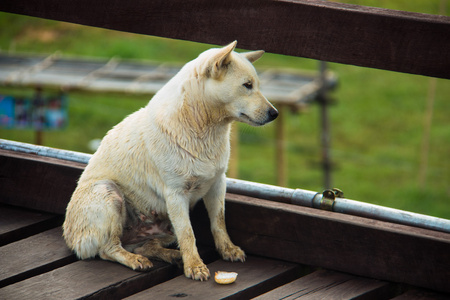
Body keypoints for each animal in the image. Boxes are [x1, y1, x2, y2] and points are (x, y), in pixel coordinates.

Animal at [62, 41, 278, 280]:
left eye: (255, 85)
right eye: (247, 85)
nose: (275, 113)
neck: (201, 126)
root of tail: (72, 241)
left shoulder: (218, 183)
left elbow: (218, 222)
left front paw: (227, 250)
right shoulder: (175, 194)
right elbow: (188, 234)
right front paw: (195, 266)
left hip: (162, 228)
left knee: (145, 245)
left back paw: (170, 255)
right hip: (107, 193)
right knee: (108, 249)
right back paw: (136, 260)